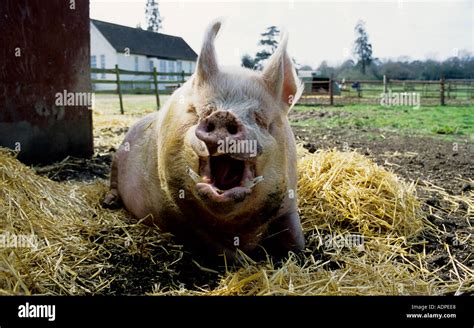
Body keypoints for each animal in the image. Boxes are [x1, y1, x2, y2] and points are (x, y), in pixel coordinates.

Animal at [103, 20, 304, 258]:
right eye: (204, 111)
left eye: (260, 118)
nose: (223, 115)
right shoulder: (180, 218)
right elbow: (218, 248)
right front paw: (244, 259)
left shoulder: (289, 201)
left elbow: (297, 240)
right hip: (116, 158)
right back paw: (108, 202)